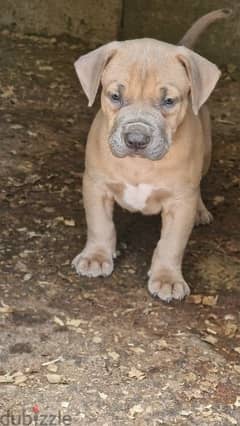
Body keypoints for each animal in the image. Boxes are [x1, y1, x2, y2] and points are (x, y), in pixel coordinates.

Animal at [72, 10, 231, 302]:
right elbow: (100, 225)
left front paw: (167, 278)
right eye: (115, 96)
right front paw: (96, 256)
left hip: (205, 154)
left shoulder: (180, 202)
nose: (136, 139)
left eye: (169, 101)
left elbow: (171, 244)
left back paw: (201, 210)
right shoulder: (96, 185)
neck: (139, 166)